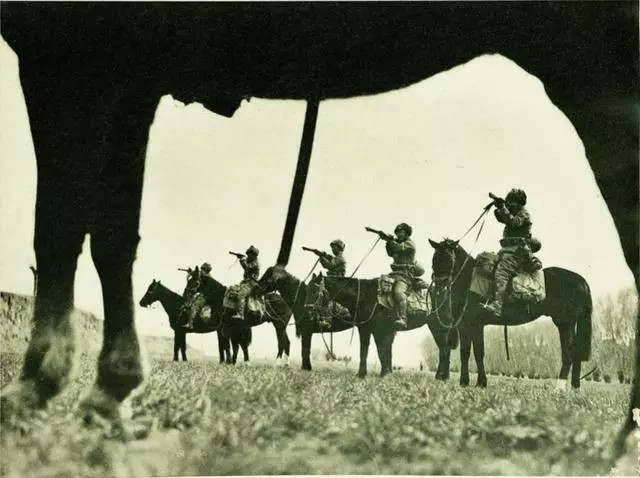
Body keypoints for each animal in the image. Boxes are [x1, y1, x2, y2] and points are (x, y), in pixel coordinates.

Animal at [428, 237, 592, 390]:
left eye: (449, 259)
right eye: (434, 259)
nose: (439, 288)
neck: (469, 281)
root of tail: (580, 280)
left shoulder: (470, 325)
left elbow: (471, 352)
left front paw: (469, 382)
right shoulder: (471, 326)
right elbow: (473, 352)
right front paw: (478, 382)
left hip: (565, 323)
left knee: (569, 353)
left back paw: (560, 387)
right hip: (569, 324)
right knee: (576, 352)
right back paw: (575, 386)